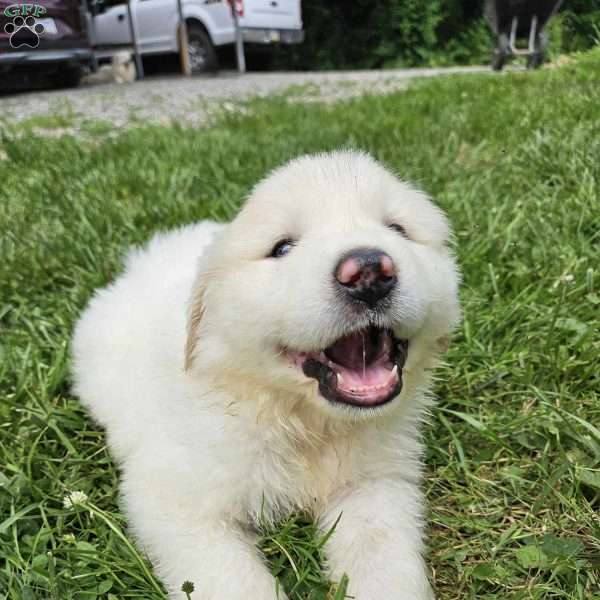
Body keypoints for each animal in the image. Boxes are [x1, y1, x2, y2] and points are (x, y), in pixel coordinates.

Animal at [72, 148, 462, 596]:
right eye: (282, 248)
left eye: (397, 229)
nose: (368, 271)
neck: (302, 421)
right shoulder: (177, 502)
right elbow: (235, 579)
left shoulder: (375, 483)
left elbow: (382, 557)